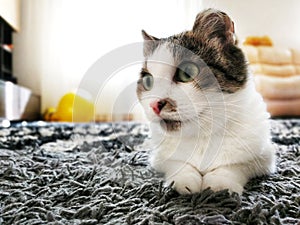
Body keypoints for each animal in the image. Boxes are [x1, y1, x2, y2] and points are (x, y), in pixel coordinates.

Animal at [137, 8, 276, 195]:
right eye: (148, 81)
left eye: (186, 73)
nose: (154, 105)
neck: (203, 134)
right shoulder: (159, 156)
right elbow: (174, 162)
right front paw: (183, 179)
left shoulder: (264, 155)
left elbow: (238, 164)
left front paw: (220, 183)